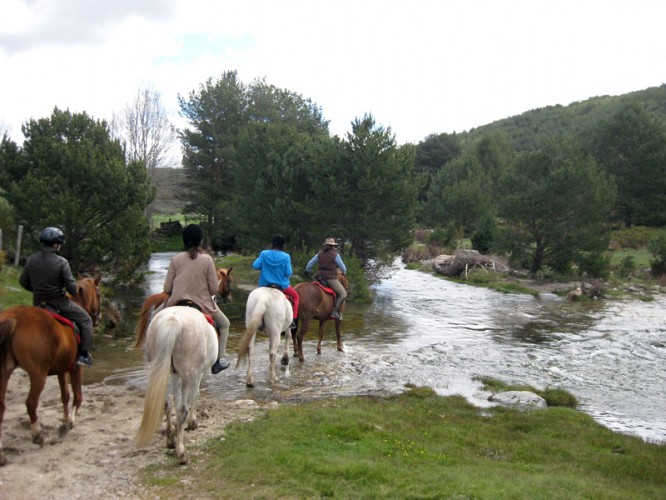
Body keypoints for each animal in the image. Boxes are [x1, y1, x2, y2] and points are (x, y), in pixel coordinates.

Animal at [0, 275, 102, 466]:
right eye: (99, 294)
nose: (98, 317)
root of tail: (14, 318)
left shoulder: (62, 369)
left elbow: (65, 396)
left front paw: (64, 419)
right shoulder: (75, 368)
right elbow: (78, 396)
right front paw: (68, 424)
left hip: (4, 372)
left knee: (1, 406)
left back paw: (2, 454)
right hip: (38, 375)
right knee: (31, 403)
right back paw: (37, 435)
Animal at [134, 306, 218, 465]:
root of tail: (172, 320)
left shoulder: (175, 374)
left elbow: (175, 399)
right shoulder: (197, 374)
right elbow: (195, 395)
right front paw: (193, 422)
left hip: (160, 370)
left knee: (167, 404)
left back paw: (171, 439)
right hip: (190, 374)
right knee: (182, 410)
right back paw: (181, 452)